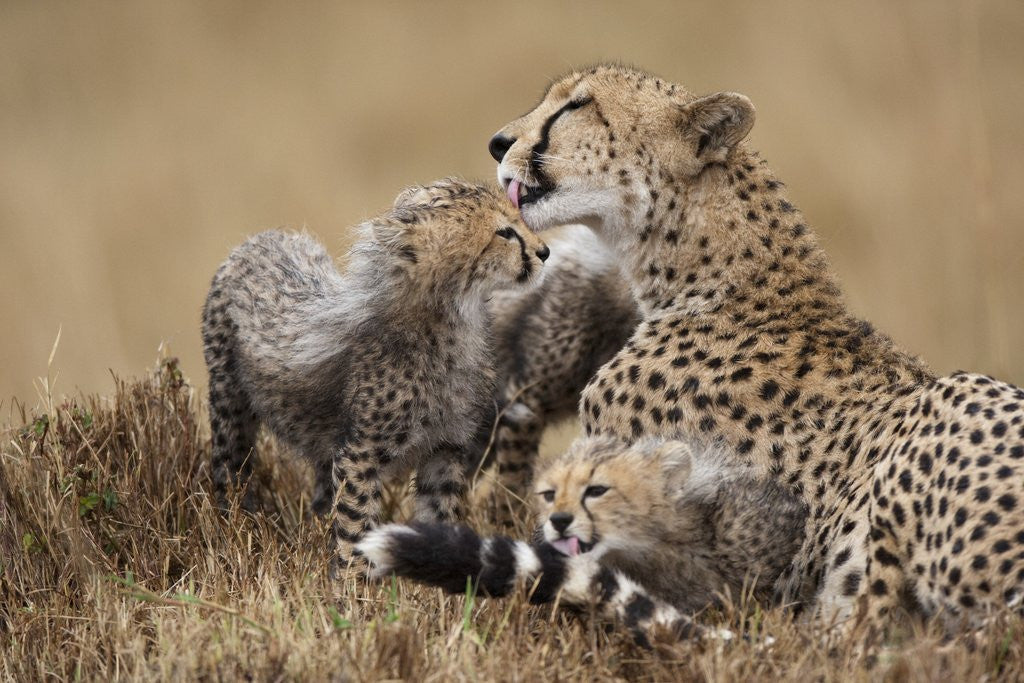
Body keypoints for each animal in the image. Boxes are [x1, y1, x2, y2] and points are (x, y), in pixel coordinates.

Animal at [201, 178, 549, 563]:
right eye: (504, 232)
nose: (544, 251)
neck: (453, 315)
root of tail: (261, 238)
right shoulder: (360, 456)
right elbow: (355, 527)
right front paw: (354, 579)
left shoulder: (445, 449)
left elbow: (441, 515)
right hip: (230, 406)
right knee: (230, 470)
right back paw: (235, 529)